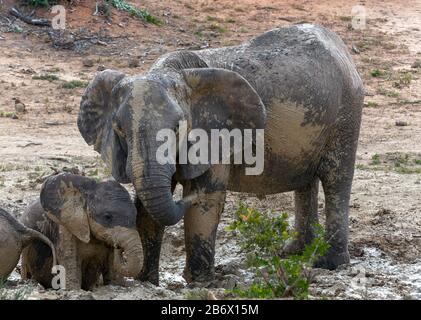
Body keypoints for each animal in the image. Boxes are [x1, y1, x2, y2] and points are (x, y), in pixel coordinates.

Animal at [79, 25, 364, 284]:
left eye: (178, 128)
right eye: (119, 130)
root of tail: (342, 49)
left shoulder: (215, 135)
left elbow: (207, 198)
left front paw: (198, 283)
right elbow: (146, 206)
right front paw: (145, 282)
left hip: (346, 113)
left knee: (335, 179)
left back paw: (328, 264)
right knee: (306, 183)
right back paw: (295, 253)